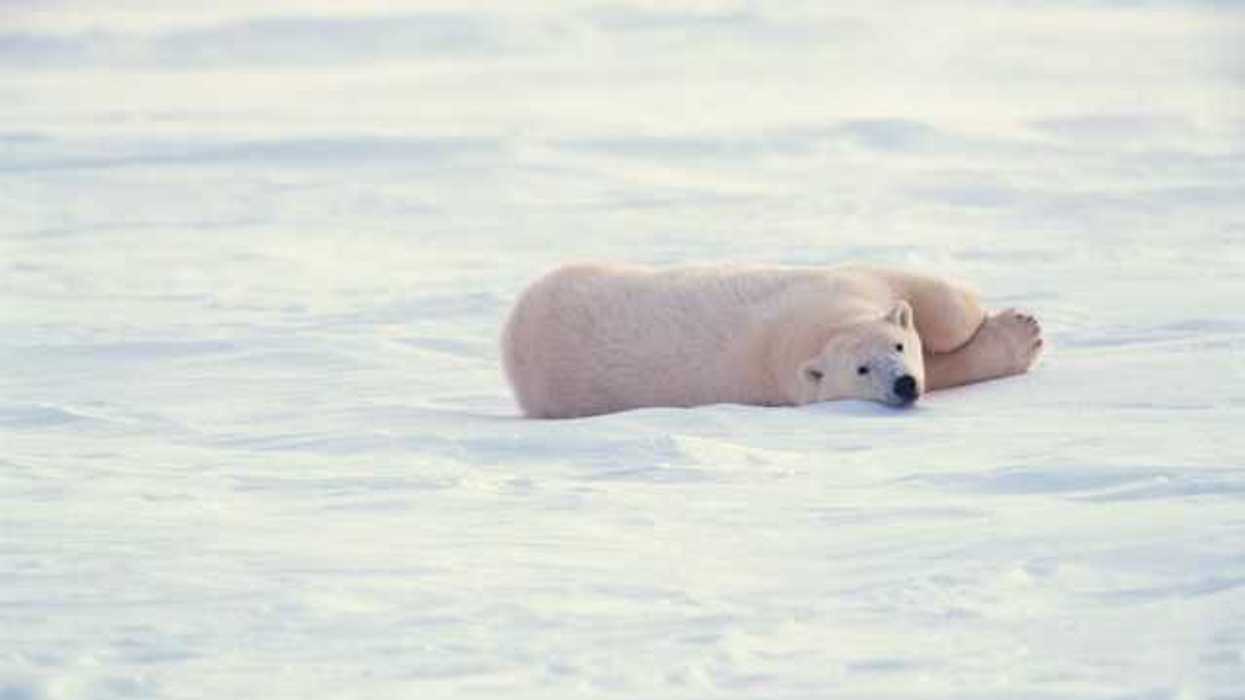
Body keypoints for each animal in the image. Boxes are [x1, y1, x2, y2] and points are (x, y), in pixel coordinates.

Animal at [501, 263, 1043, 419]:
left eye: (896, 346)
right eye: (861, 370)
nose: (903, 385)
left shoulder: (840, 281)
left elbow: (934, 301)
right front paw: (1022, 333)